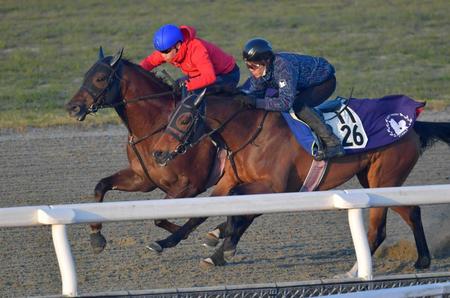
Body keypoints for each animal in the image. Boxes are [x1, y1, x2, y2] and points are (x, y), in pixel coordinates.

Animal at [65, 49, 223, 254]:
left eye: (100, 78)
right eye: (85, 76)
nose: (72, 108)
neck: (156, 128)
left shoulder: (190, 184)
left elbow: (163, 217)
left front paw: (177, 236)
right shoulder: (142, 179)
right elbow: (101, 186)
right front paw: (96, 236)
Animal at [153, 80, 450, 268]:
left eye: (184, 119)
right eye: (170, 116)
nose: (157, 153)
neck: (251, 133)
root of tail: (411, 124)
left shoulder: (275, 187)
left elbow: (241, 211)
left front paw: (225, 244)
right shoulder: (231, 180)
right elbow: (204, 210)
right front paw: (168, 241)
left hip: (385, 180)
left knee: (389, 224)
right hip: (374, 181)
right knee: (403, 216)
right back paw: (411, 261)